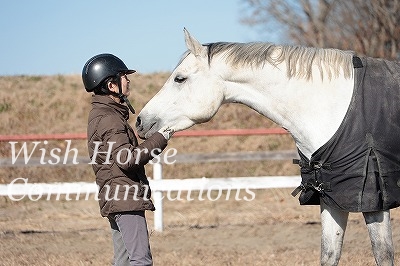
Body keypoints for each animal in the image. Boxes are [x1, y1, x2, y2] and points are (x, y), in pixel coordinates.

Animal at [135, 29, 396, 266]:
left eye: (179, 78)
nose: (140, 121)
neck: (334, 109)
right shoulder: (332, 197)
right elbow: (329, 255)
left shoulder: (374, 201)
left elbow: (383, 254)